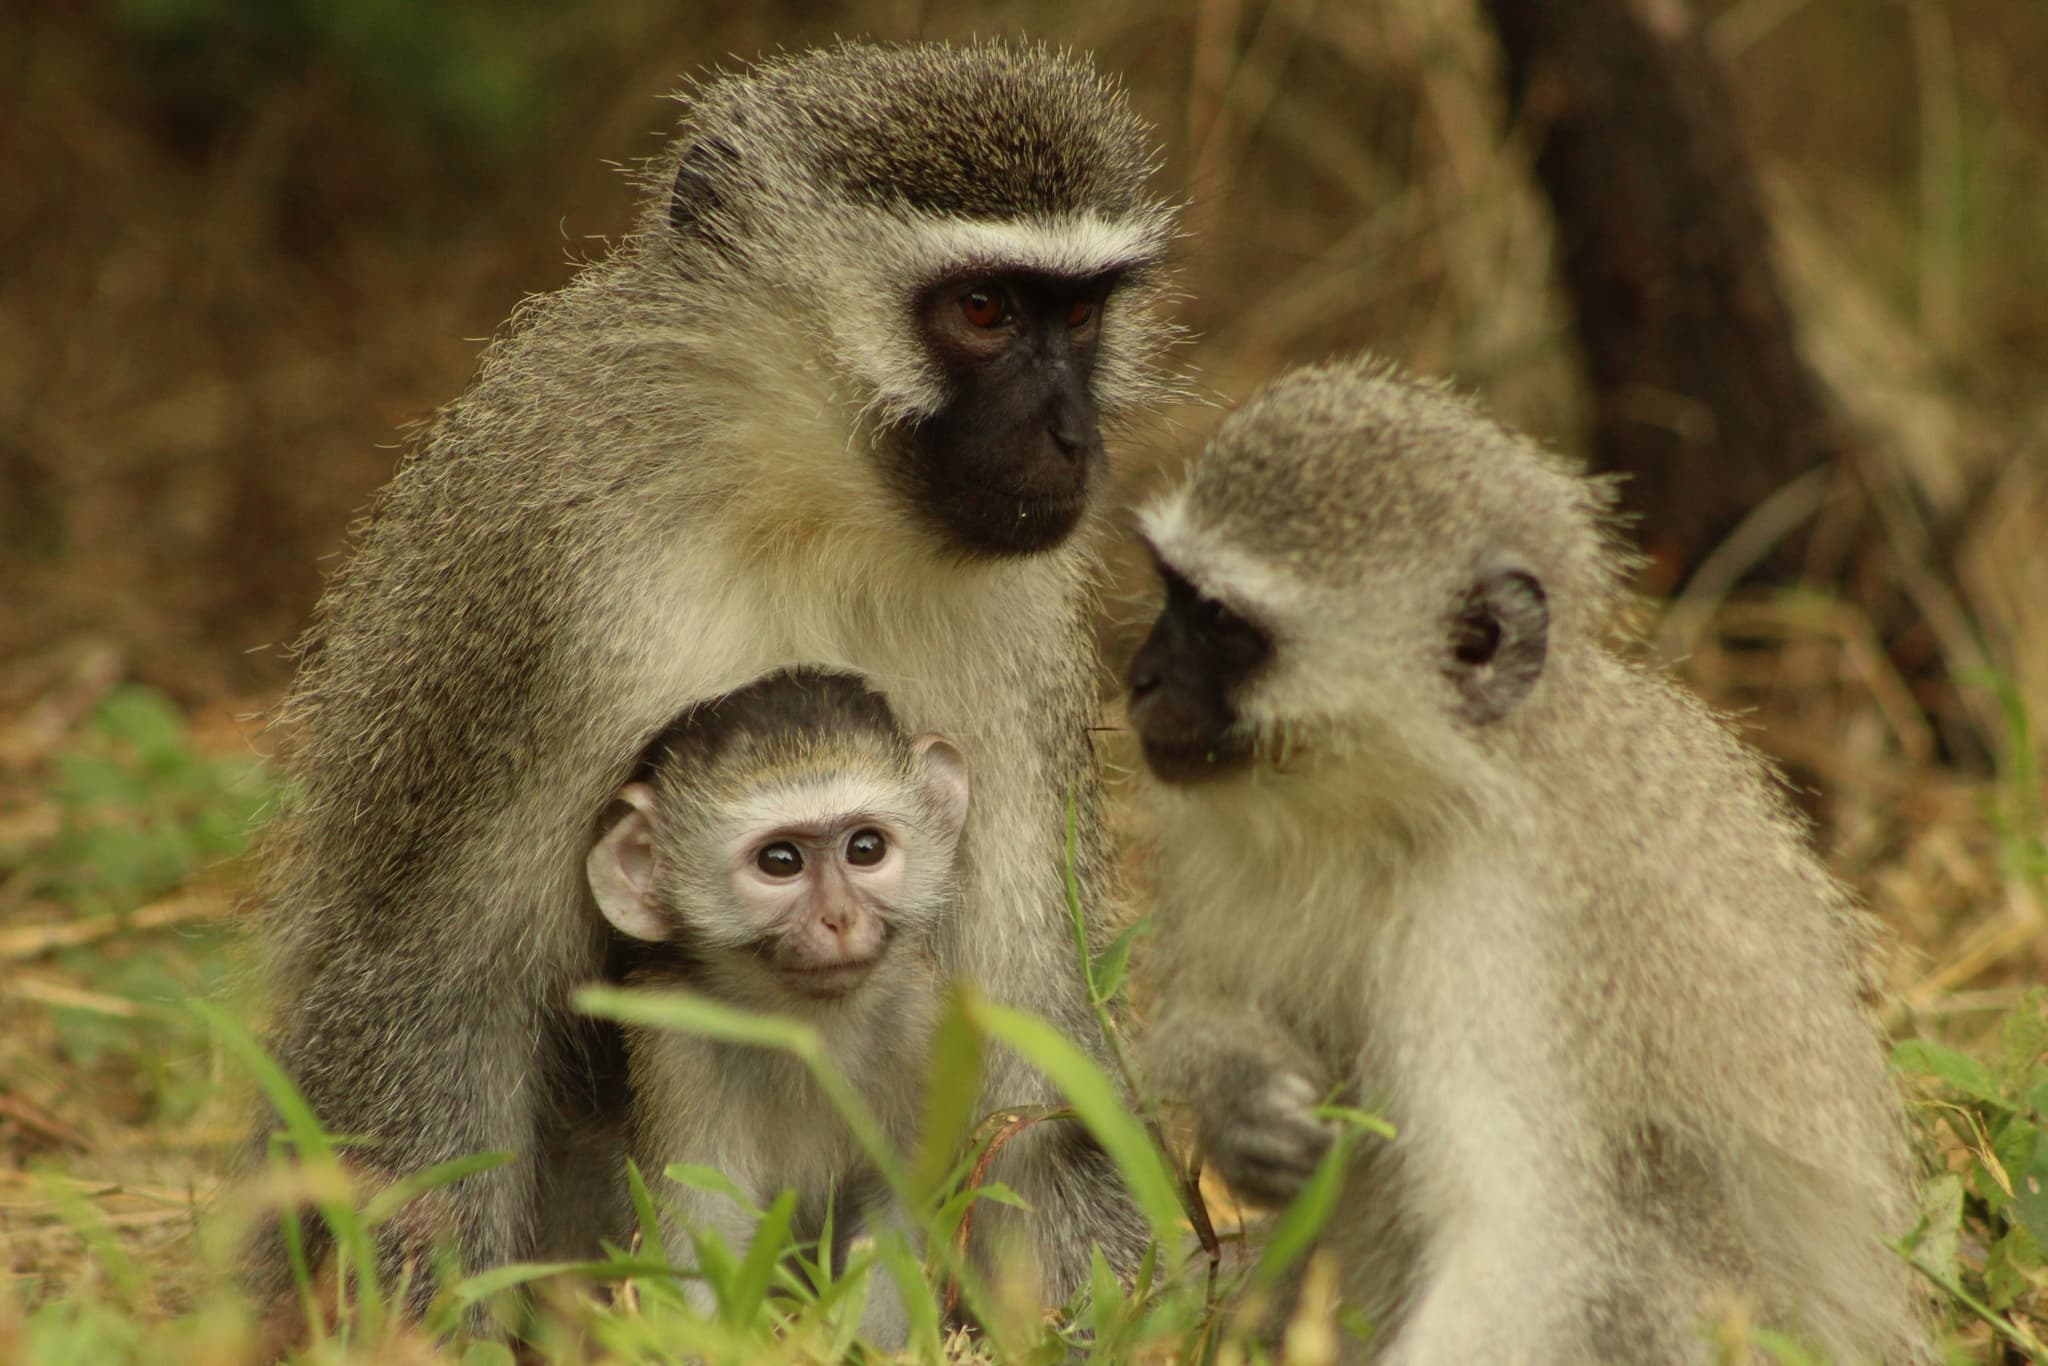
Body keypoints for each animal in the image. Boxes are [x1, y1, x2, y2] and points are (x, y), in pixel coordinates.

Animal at [586, 669, 968, 1348]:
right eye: (780, 861)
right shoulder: (676, 1050)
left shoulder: (925, 1030)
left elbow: (893, 1219)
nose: (840, 918)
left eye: (865, 848)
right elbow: (704, 1237)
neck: (807, 1029)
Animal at [1125, 357, 1929, 1363]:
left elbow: (1517, 1246)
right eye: (1170, 594)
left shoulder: (1495, 924)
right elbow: (1201, 1003)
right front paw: (1244, 1103)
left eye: (1225, 627)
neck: (1401, 810)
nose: (1139, 679)